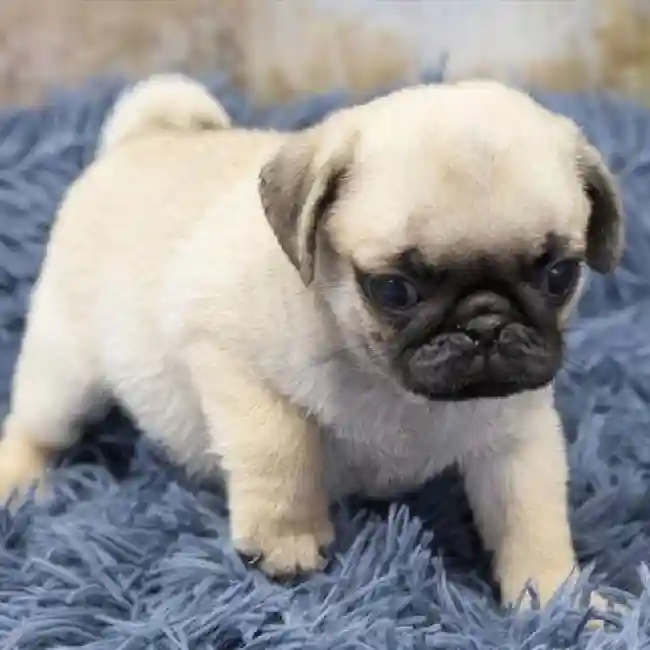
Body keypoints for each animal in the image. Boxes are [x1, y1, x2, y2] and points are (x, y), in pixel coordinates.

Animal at [0, 74, 623, 609]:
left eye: (560, 276)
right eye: (393, 289)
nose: (485, 323)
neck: (392, 387)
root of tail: (144, 138)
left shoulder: (518, 439)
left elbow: (532, 517)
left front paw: (558, 601)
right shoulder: (232, 359)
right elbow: (282, 448)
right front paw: (286, 540)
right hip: (66, 371)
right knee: (37, 426)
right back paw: (17, 481)